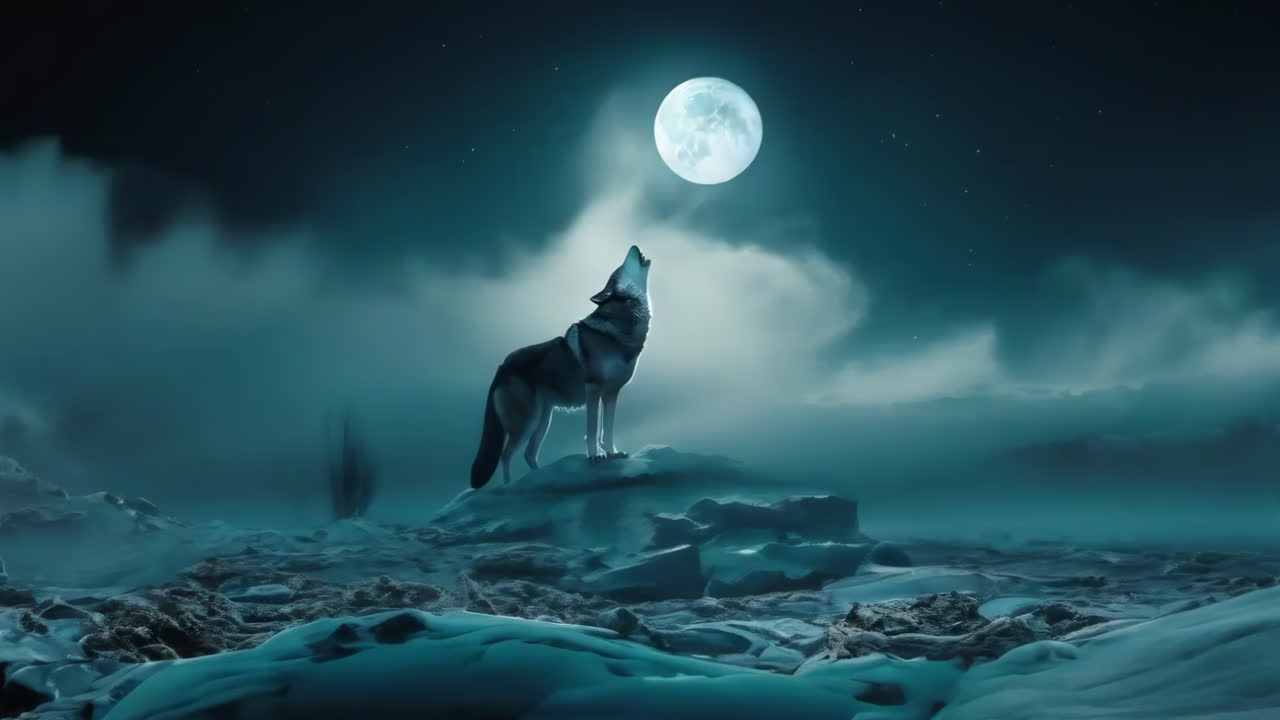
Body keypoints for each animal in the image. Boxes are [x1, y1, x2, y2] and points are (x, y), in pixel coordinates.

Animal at [470, 245, 652, 489]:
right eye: (620, 268)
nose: (633, 247)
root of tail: (502, 366)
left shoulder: (611, 393)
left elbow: (607, 430)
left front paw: (612, 454)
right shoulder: (593, 388)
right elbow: (593, 430)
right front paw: (596, 456)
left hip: (543, 420)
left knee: (528, 454)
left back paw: (540, 478)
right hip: (528, 422)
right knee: (506, 455)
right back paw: (509, 487)